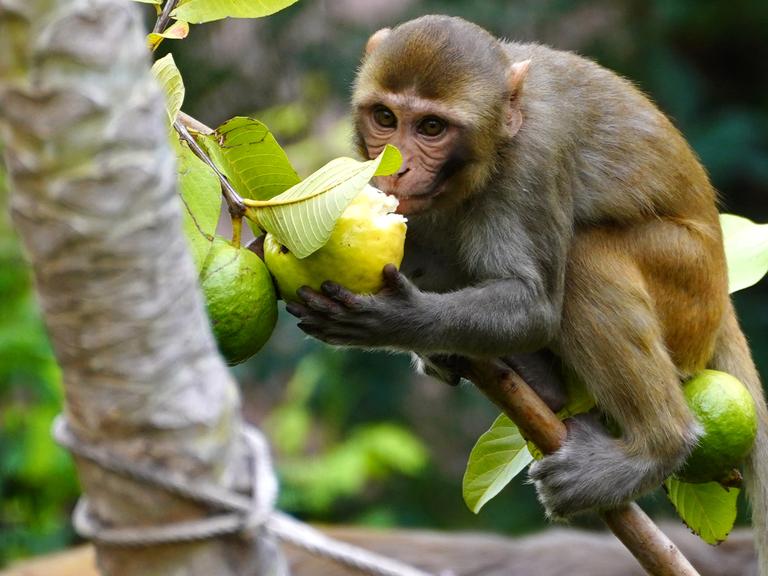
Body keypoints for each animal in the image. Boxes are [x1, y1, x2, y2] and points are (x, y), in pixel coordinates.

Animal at [284, 13, 768, 572]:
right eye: (385, 117)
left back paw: (656, 446)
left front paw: (395, 319)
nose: (394, 163)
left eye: (431, 128)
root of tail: (723, 297)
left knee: (584, 260)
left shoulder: (536, 153)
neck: (503, 126)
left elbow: (534, 306)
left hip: (688, 286)